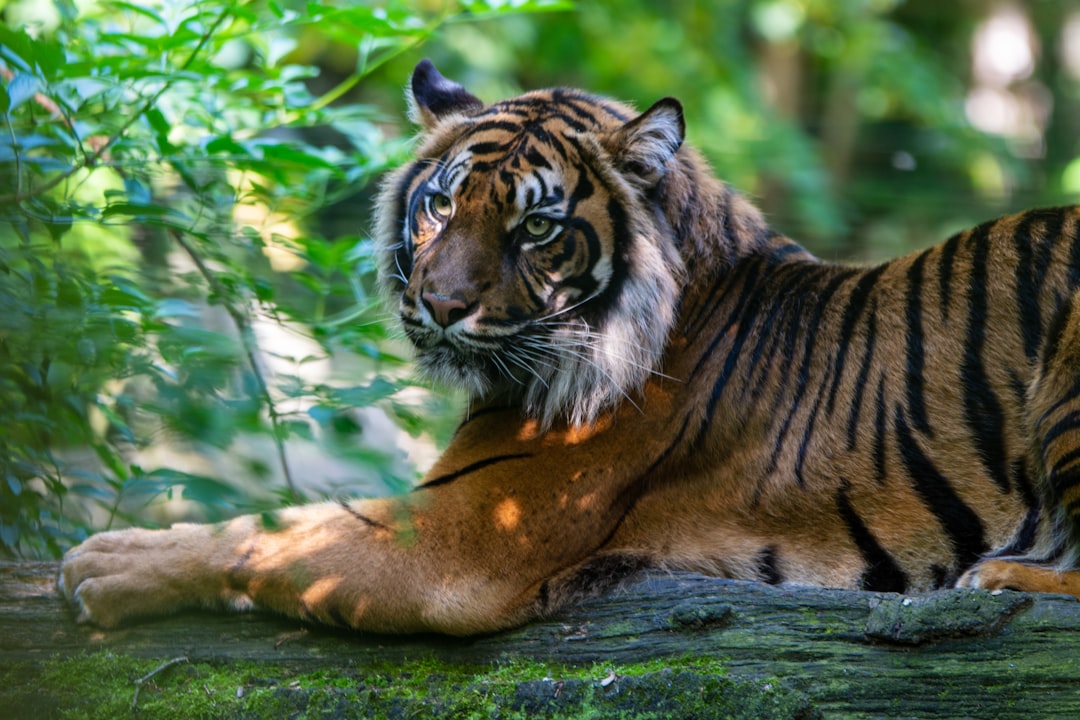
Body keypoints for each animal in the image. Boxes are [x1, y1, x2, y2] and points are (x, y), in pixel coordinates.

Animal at [59, 59, 1080, 635]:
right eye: (440, 203)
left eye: (537, 227)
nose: (440, 305)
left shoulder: (468, 531)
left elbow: (273, 532)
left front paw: (105, 563)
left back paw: (998, 574)